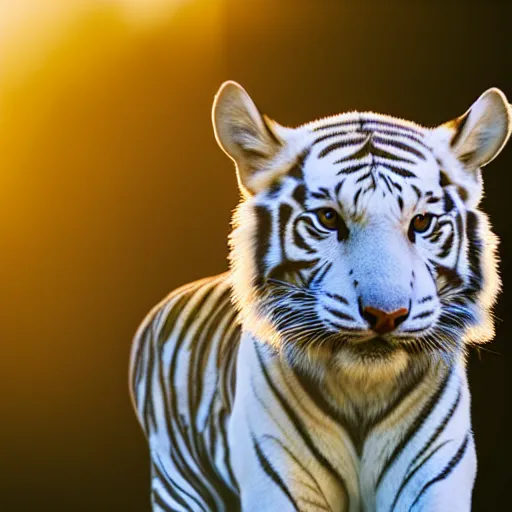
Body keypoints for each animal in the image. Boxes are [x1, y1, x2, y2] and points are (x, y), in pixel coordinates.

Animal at [129, 82, 512, 510]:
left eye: (422, 221)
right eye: (329, 218)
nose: (386, 315)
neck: (363, 392)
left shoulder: (434, 479)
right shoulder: (278, 480)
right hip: (177, 481)